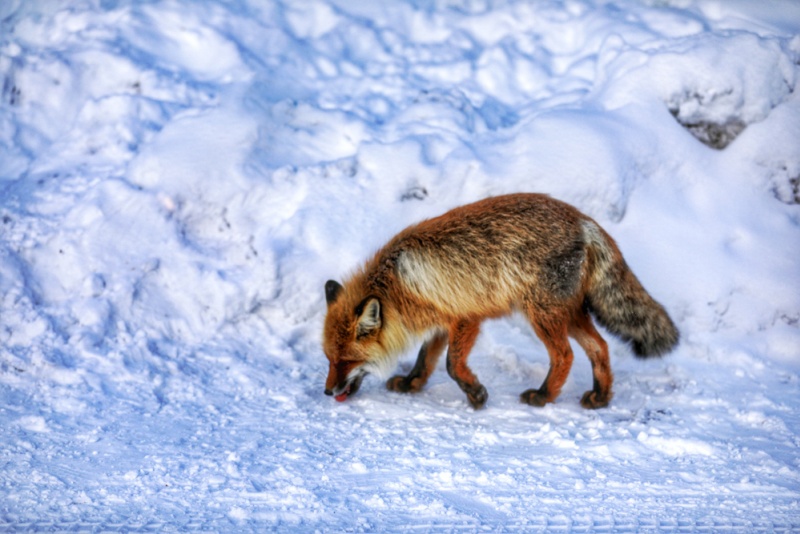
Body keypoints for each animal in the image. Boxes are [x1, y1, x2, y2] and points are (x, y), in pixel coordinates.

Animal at [322, 194, 680, 410]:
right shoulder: (442, 320)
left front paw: (476, 394)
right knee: (600, 348)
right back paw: (601, 398)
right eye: (329, 359)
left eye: (347, 360)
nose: (327, 392)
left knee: (564, 356)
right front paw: (412, 384)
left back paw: (544, 396)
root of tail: (582, 219)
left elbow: (452, 364)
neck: (398, 284)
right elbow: (425, 359)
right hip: (568, 314)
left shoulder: (467, 318)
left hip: (542, 315)